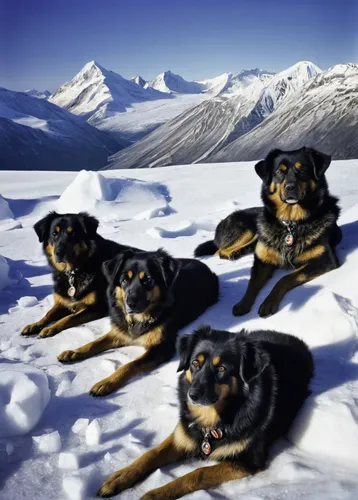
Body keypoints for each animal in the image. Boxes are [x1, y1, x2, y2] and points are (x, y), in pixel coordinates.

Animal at [57, 248, 220, 396]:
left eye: (148, 280)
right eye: (124, 280)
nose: (130, 304)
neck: (140, 319)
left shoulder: (161, 347)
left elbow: (131, 364)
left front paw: (106, 382)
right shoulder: (120, 331)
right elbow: (94, 343)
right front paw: (74, 352)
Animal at [98, 326, 314, 498]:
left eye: (222, 368)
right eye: (195, 363)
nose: (192, 395)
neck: (216, 417)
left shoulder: (248, 461)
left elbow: (198, 473)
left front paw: (155, 494)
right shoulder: (184, 434)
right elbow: (150, 454)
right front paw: (119, 477)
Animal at [232, 146, 342, 316]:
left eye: (302, 169)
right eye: (279, 171)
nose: (290, 187)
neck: (291, 222)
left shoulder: (325, 259)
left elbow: (284, 279)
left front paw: (268, 302)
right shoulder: (263, 259)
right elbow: (252, 282)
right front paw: (243, 303)